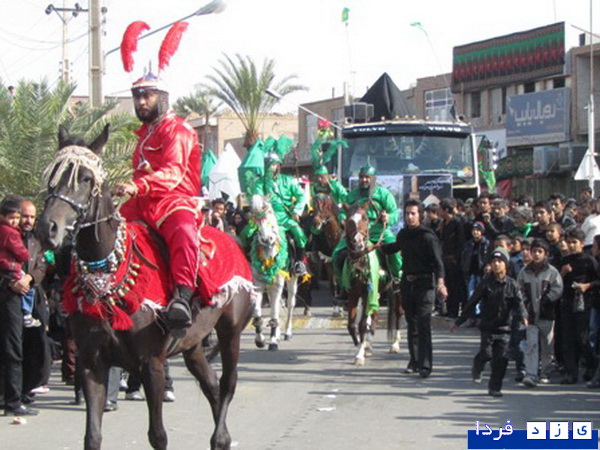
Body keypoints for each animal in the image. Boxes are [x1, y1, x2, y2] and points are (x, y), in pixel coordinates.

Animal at [36, 125, 254, 450]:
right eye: (52, 175)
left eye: (85, 179)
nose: (47, 228)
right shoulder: (92, 364)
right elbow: (92, 437)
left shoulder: (151, 364)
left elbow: (158, 435)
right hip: (193, 345)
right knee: (212, 387)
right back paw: (223, 437)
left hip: (230, 333)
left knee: (227, 384)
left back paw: (219, 437)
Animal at [248, 194, 299, 351]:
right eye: (256, 222)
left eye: (270, 216)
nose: (267, 239)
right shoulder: (257, 284)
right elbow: (257, 312)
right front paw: (260, 339)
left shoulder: (278, 284)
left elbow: (275, 311)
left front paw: (273, 342)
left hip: (292, 280)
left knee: (290, 304)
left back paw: (287, 332)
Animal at [341, 203, 404, 365]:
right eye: (348, 220)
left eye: (365, 218)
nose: (358, 242)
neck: (360, 261)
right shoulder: (353, 294)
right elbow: (351, 325)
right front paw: (359, 343)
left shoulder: (367, 292)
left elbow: (363, 324)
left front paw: (359, 355)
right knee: (374, 315)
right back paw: (368, 345)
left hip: (397, 289)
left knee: (398, 313)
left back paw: (395, 344)